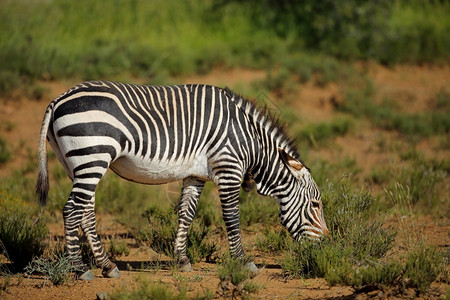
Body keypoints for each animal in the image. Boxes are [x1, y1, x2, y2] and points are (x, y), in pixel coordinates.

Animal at [36, 81, 326, 280]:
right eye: (315, 205)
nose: (326, 247)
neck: (250, 141)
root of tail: (58, 99)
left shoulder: (195, 175)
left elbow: (186, 215)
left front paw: (182, 259)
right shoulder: (228, 168)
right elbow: (232, 217)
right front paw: (243, 261)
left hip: (77, 164)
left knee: (85, 212)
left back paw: (107, 266)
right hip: (92, 157)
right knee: (71, 211)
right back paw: (79, 269)